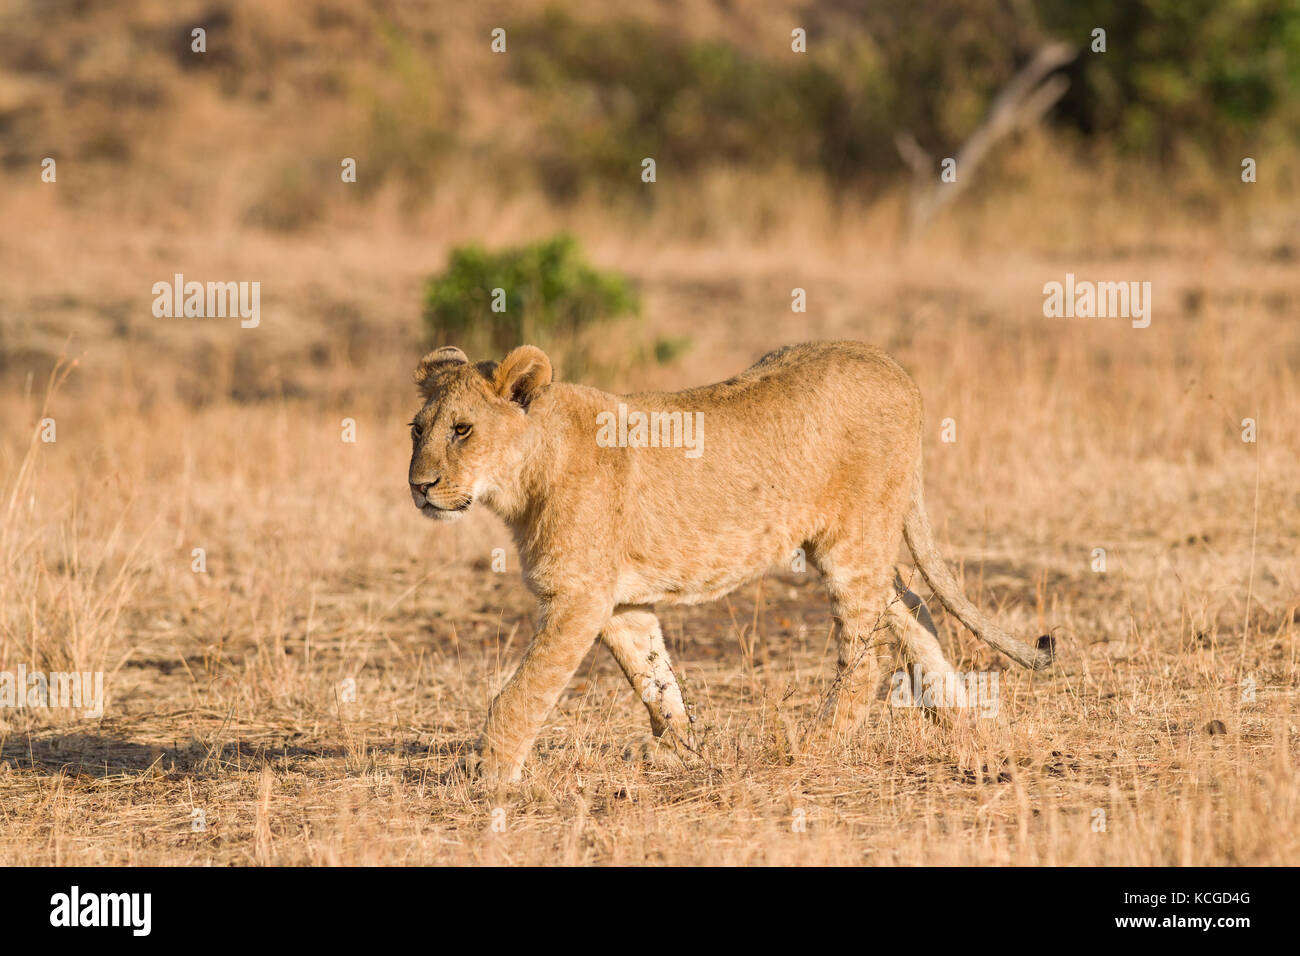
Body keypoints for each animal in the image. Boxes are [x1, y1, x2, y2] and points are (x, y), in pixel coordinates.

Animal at [408, 341, 1052, 784]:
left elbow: (524, 689)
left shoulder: (578, 596)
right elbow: (656, 682)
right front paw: (683, 753)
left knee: (865, 658)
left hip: (850, 542)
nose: (419, 486)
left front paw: (490, 776)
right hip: (850, 543)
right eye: (417, 431)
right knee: (912, 604)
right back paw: (962, 719)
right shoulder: (621, 604)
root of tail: (893, 366)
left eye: (462, 430)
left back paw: (810, 750)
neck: (524, 476)